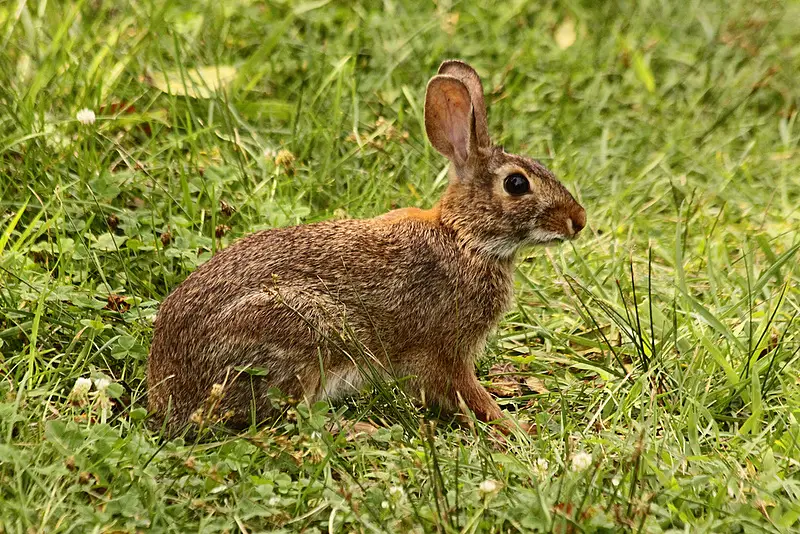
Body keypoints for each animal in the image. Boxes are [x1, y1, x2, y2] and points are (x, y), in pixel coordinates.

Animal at [147, 60, 586, 436]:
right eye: (516, 184)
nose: (578, 220)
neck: (464, 238)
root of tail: (170, 395)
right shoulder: (445, 349)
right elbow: (463, 391)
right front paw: (512, 426)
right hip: (302, 332)